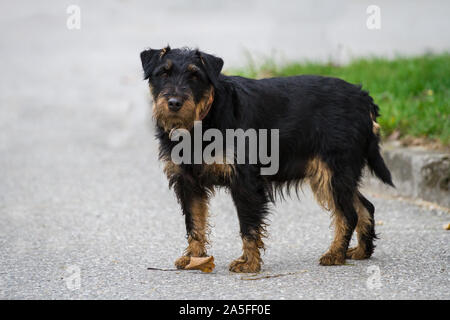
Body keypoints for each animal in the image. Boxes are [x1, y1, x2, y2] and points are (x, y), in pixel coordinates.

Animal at [139, 46, 392, 274]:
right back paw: (361, 251)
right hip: (333, 175)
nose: (174, 102)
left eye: (195, 75)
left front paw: (249, 263)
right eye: (163, 73)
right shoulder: (188, 184)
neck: (202, 120)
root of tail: (363, 97)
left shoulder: (245, 182)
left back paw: (335, 254)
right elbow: (194, 224)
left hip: (333, 172)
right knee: (364, 206)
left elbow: (249, 226)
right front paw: (194, 258)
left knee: (348, 213)